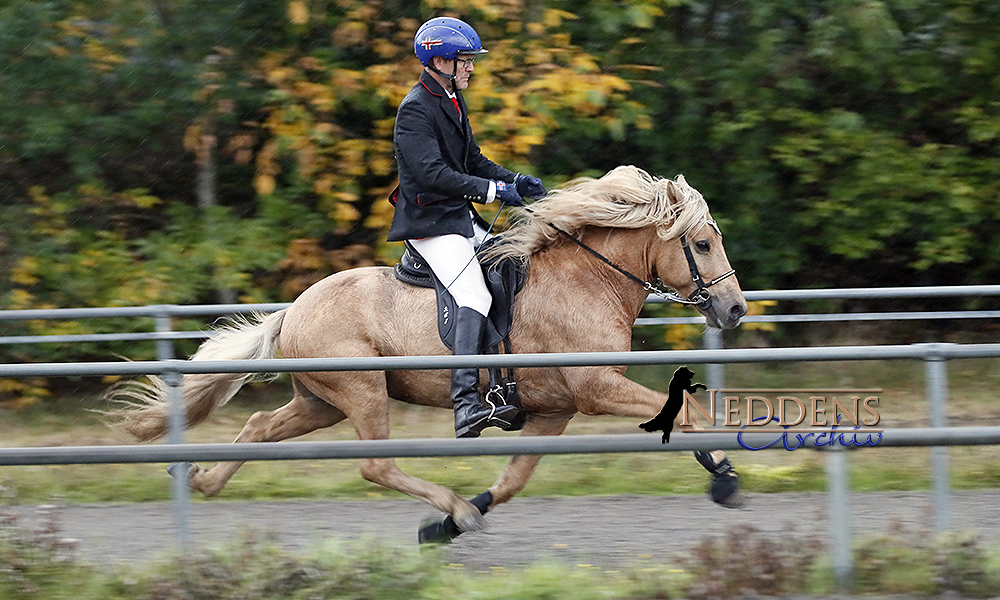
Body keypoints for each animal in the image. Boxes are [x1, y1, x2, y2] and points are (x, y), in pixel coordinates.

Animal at [107, 166, 752, 540]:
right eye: (702, 243)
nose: (736, 311)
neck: (586, 280)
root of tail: (295, 308)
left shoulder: (555, 409)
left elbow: (515, 479)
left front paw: (452, 524)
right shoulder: (596, 390)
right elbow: (690, 414)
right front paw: (725, 479)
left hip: (322, 401)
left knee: (260, 426)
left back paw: (201, 480)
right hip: (362, 391)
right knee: (375, 465)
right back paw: (454, 507)